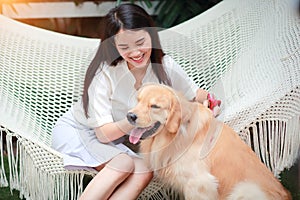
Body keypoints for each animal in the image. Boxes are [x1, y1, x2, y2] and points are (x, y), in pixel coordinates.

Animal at [126, 83, 290, 200]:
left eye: (154, 106)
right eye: (138, 101)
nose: (130, 116)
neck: (175, 134)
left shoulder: (199, 183)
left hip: (243, 189)